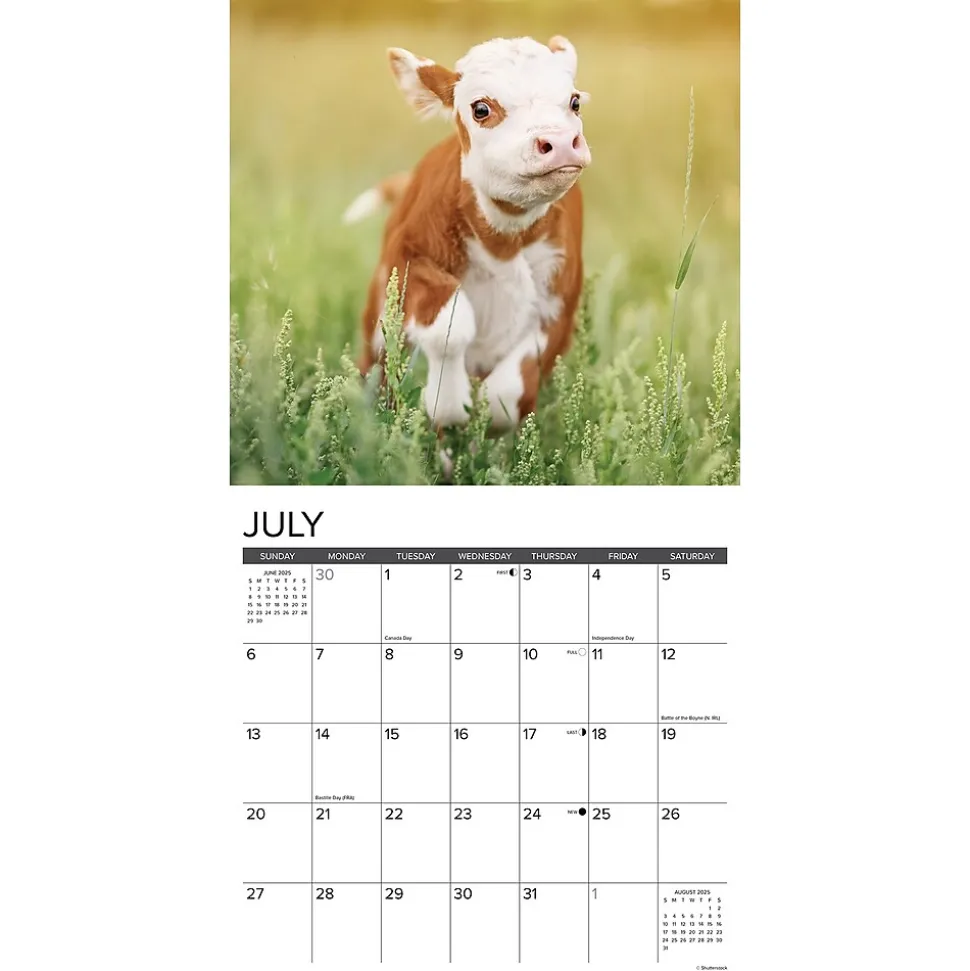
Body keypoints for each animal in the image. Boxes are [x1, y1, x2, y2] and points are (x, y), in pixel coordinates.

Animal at [344, 35, 591, 431]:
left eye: (575, 102)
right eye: (481, 109)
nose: (562, 142)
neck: (503, 241)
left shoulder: (561, 305)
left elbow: (511, 386)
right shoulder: (408, 256)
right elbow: (451, 324)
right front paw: (446, 401)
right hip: (379, 309)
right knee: (378, 364)